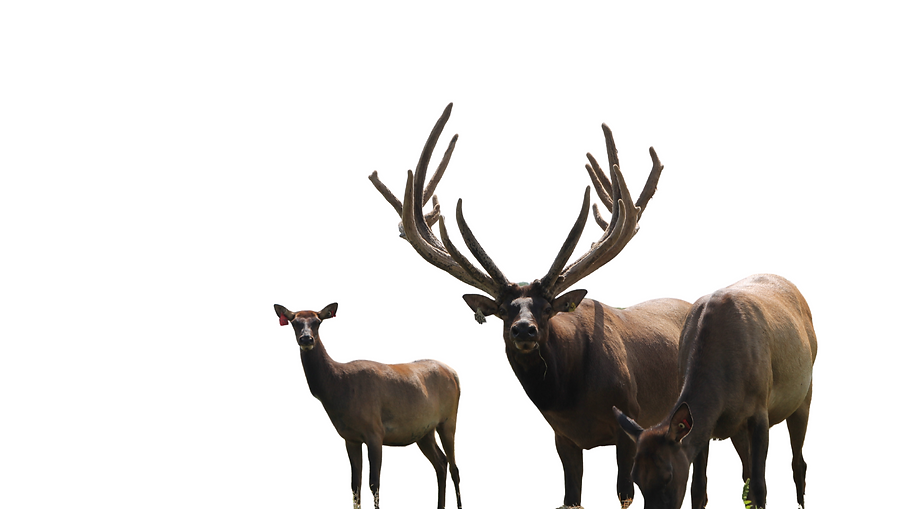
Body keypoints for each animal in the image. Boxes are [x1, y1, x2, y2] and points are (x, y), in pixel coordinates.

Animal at [273, 302, 463, 509]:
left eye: (317, 321)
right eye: (294, 322)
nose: (306, 338)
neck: (338, 390)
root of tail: (455, 375)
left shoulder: (375, 432)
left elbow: (374, 483)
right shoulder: (350, 438)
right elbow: (355, 484)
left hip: (449, 419)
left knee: (454, 468)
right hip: (424, 431)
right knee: (441, 463)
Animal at [369, 103, 692, 509]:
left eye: (546, 308)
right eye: (504, 310)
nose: (524, 328)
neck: (572, 397)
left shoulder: (630, 419)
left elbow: (624, 493)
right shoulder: (562, 436)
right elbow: (571, 496)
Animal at [614, 274, 817, 509]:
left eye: (668, 476)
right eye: (636, 477)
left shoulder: (759, 410)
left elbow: (760, 487)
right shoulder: (707, 427)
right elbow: (698, 489)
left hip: (804, 394)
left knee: (798, 464)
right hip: (739, 428)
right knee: (747, 474)